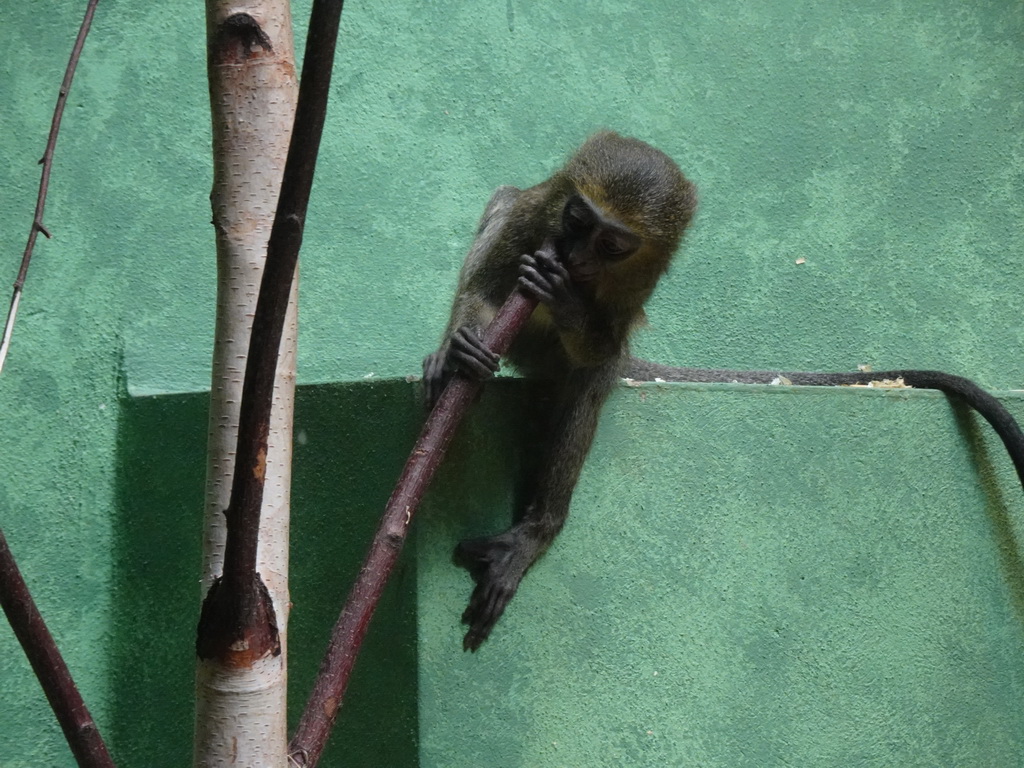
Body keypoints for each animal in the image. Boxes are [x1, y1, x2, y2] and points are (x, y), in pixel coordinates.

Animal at [423, 129, 1024, 651]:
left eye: (612, 243)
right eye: (576, 219)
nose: (576, 256)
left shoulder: (631, 287)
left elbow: (596, 348)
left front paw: (569, 303)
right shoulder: (538, 216)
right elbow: (486, 283)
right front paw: (459, 349)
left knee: (586, 391)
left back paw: (536, 531)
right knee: (504, 207)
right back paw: (445, 367)